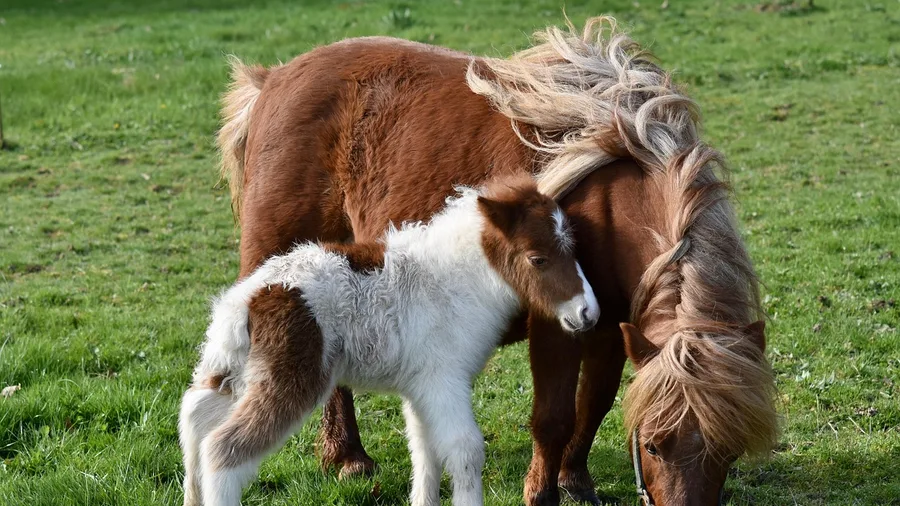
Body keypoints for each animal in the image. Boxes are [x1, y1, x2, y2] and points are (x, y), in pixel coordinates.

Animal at [179, 176, 601, 506]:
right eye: (537, 259)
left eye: (574, 249)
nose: (588, 313)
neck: (454, 281)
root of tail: (247, 300)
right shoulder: (445, 380)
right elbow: (465, 450)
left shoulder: (420, 389)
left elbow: (424, 450)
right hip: (293, 379)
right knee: (222, 449)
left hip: (233, 368)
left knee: (195, 415)